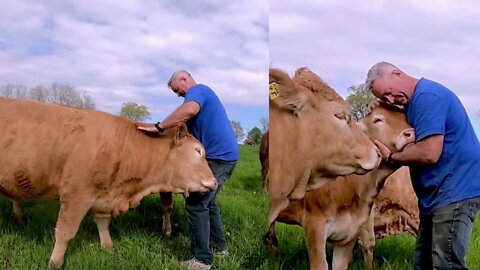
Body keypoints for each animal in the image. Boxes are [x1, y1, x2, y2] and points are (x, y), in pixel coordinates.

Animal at [0, 96, 216, 268]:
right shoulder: (76, 196)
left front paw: (108, 249)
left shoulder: (103, 195)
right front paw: (55, 263)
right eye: (198, 151)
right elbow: (64, 232)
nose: (214, 182)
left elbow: (103, 224)